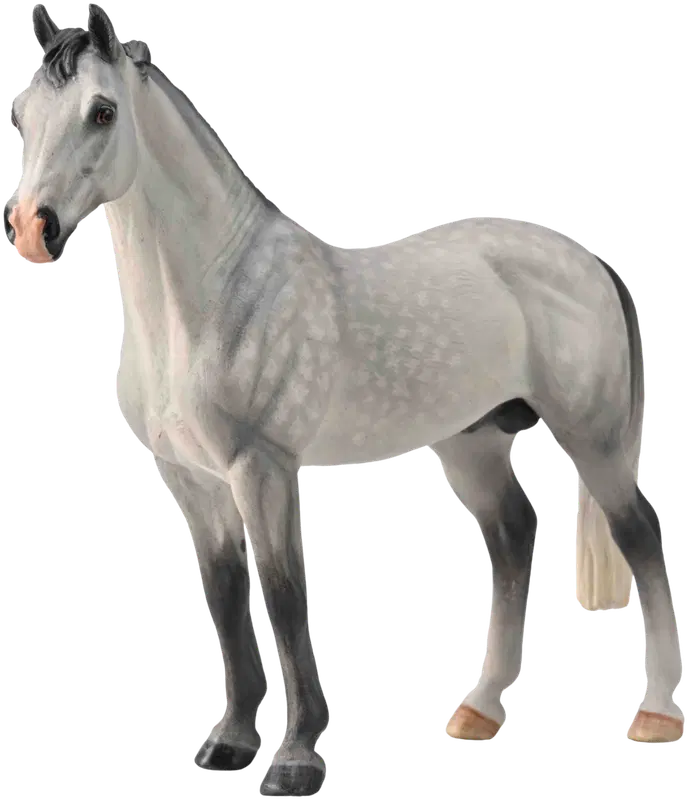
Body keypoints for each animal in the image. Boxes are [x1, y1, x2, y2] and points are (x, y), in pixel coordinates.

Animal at [4, 2, 683, 791]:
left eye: (103, 111)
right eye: (21, 114)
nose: (32, 229)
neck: (215, 293)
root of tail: (589, 261)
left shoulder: (262, 469)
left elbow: (285, 594)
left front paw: (295, 758)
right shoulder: (193, 482)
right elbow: (227, 596)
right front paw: (229, 744)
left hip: (591, 438)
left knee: (641, 538)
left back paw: (657, 716)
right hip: (472, 440)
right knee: (513, 534)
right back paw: (477, 713)